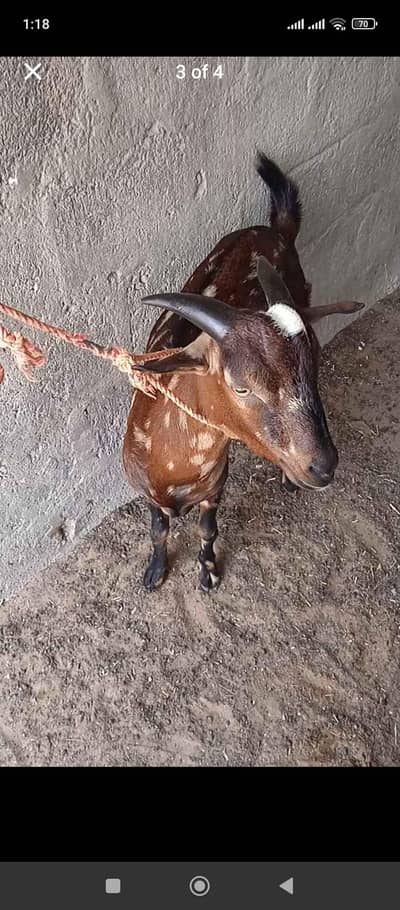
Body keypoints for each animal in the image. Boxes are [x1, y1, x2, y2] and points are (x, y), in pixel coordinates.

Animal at [123, 154, 363, 592]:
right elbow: (158, 530)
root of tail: (275, 229)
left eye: (313, 362)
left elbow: (208, 530)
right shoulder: (148, 495)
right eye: (241, 387)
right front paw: (154, 572)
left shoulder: (216, 485)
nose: (323, 466)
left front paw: (208, 573)